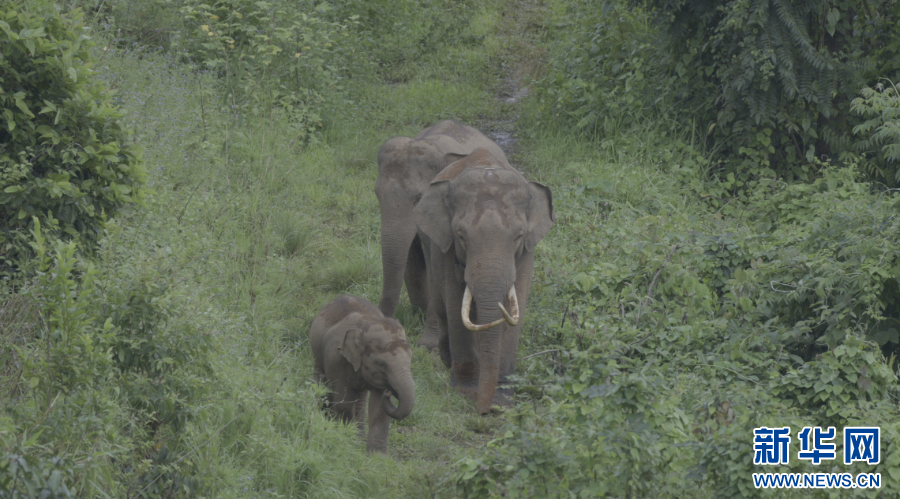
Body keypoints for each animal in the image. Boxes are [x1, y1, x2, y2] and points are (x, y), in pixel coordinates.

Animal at [310, 295, 415, 454]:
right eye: (382, 364)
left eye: (410, 360)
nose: (390, 391)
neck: (366, 326)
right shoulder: (336, 358)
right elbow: (344, 401)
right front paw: (345, 441)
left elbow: (379, 410)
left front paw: (376, 456)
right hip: (317, 354)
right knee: (323, 384)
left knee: (360, 399)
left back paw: (358, 438)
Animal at [413, 147, 555, 415]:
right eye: (461, 236)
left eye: (518, 236)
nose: (484, 411)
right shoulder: (445, 249)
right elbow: (455, 305)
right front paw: (466, 392)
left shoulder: (526, 252)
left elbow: (516, 308)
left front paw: (501, 401)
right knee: (443, 308)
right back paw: (446, 360)